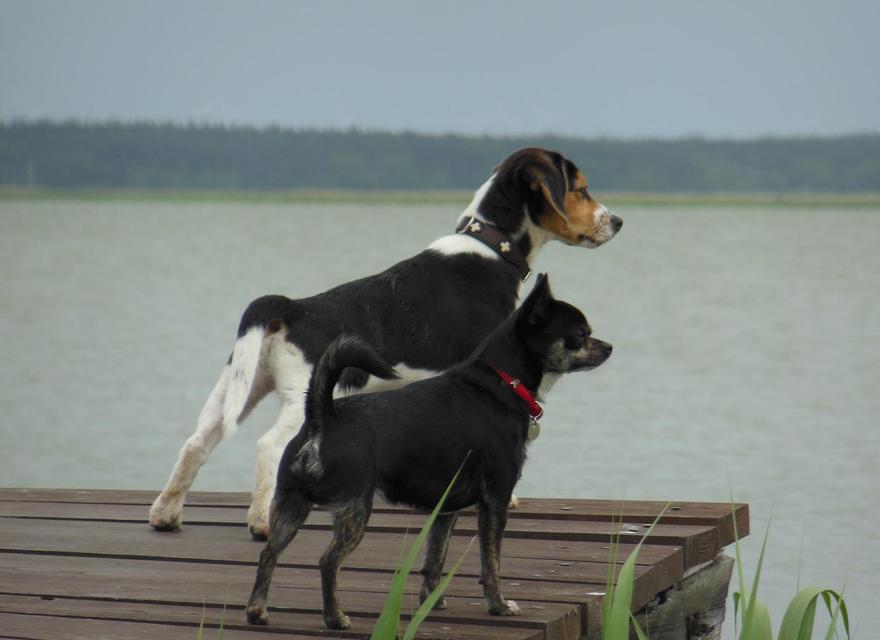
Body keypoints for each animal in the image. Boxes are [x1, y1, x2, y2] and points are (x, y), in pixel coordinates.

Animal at [150, 148, 620, 536]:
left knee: (196, 443)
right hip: (299, 398)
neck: (490, 246)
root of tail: (289, 307)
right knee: (269, 447)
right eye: (580, 189)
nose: (617, 222)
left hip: (240, 386)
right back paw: (262, 522)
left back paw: (165, 514)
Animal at [244, 276, 608, 632]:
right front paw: (499, 606)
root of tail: (323, 416)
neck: (502, 383)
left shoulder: (446, 510)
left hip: (291, 505)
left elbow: (434, 559)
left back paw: (257, 611)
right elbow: (491, 562)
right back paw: (335, 618)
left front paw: (431, 602)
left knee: (269, 555)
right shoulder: (496, 501)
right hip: (354, 508)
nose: (609, 347)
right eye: (580, 335)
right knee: (327, 561)